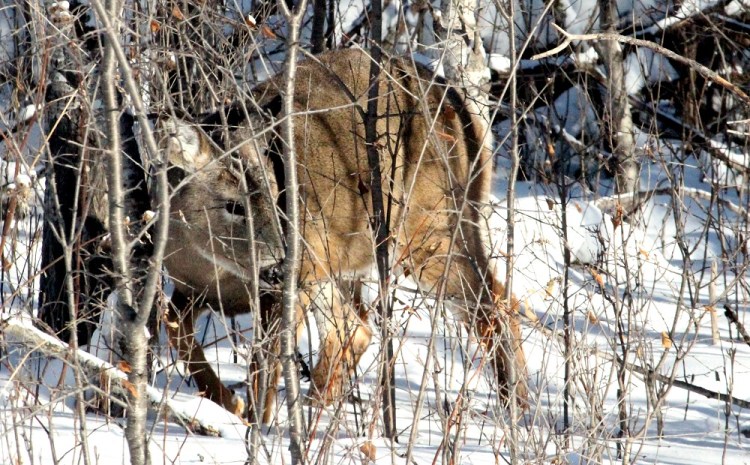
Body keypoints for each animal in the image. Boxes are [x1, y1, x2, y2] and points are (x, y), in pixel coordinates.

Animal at [157, 48, 528, 423]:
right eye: (233, 205)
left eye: (278, 194)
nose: (279, 263)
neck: (218, 269)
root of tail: (457, 102)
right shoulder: (190, 285)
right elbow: (173, 325)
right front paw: (226, 401)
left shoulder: (290, 283)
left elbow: (266, 365)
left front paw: (255, 425)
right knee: (355, 327)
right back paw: (320, 406)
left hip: (431, 227)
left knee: (498, 302)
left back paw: (518, 405)